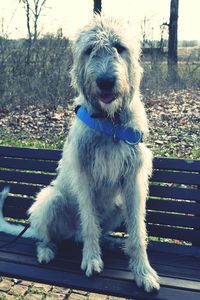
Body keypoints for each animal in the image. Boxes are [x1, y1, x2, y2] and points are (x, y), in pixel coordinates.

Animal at [0, 15, 159, 292]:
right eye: (89, 50)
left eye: (119, 47)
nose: (105, 81)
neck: (110, 122)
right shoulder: (84, 175)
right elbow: (89, 221)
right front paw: (92, 259)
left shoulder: (134, 181)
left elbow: (138, 229)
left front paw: (143, 271)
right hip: (50, 200)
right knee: (49, 236)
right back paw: (46, 250)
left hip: (118, 206)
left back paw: (111, 243)